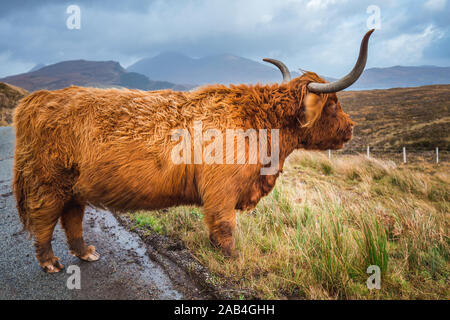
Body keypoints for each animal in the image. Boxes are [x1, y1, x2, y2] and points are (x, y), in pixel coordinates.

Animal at [12, 29, 374, 272]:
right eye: (333, 104)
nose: (351, 128)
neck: (261, 124)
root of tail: (35, 100)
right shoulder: (221, 192)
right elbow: (224, 228)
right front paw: (233, 259)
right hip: (49, 182)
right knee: (44, 219)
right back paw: (50, 262)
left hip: (74, 185)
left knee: (71, 216)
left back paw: (85, 251)